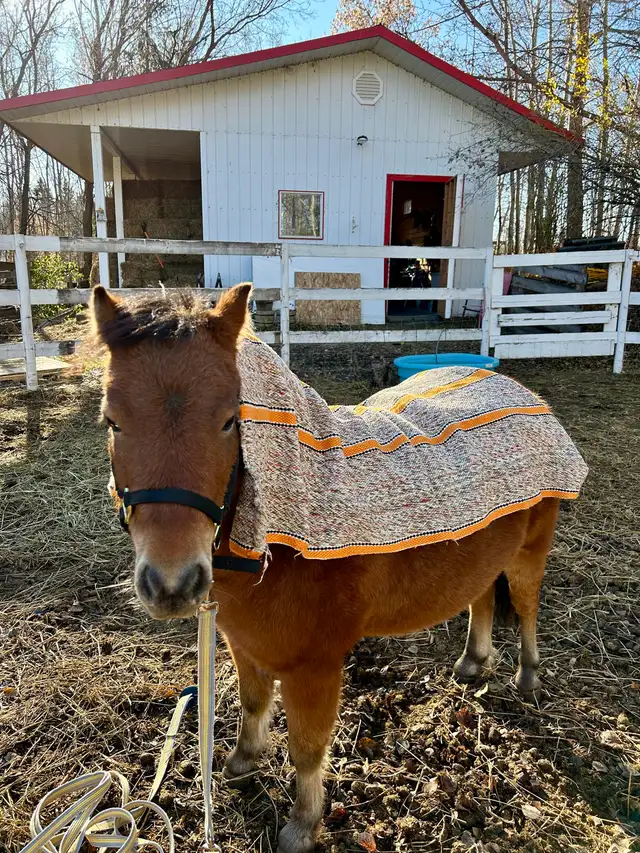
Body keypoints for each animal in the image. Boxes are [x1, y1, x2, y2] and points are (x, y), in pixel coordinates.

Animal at [91, 283, 561, 853]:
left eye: (230, 420)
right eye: (112, 421)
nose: (172, 584)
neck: (274, 547)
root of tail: (522, 392)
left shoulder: (315, 667)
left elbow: (307, 747)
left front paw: (303, 824)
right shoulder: (243, 643)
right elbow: (252, 704)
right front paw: (241, 763)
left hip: (531, 550)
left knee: (528, 605)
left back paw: (528, 677)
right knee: (482, 598)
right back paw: (473, 663)